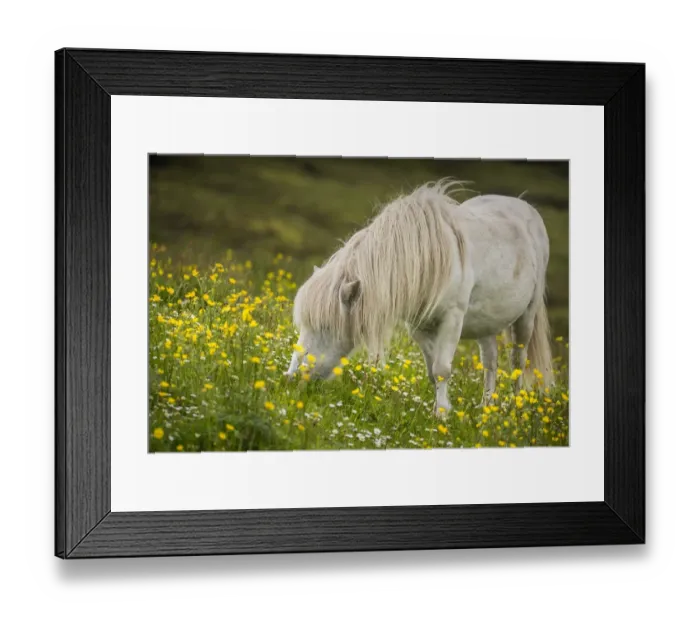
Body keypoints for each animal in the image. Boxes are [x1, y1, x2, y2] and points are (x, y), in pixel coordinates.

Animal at [285, 179, 553, 418]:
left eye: (325, 326)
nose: (292, 378)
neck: (429, 257)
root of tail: (525, 207)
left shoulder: (452, 319)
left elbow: (442, 369)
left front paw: (442, 415)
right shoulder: (419, 327)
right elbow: (432, 371)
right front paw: (437, 410)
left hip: (526, 318)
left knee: (518, 361)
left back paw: (515, 407)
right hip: (486, 323)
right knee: (491, 361)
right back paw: (486, 407)